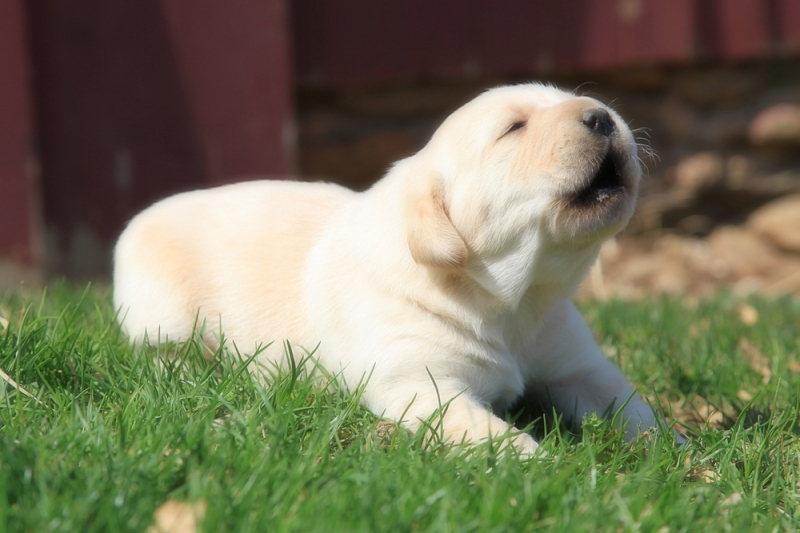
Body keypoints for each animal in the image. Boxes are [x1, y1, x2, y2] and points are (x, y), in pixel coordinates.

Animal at [117, 82, 668, 454]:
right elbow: (486, 431)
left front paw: (675, 450)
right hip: (159, 315)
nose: (603, 117)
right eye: (514, 128)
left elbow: (634, 408)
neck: (514, 301)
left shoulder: (579, 367)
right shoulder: (421, 384)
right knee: (165, 356)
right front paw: (539, 464)